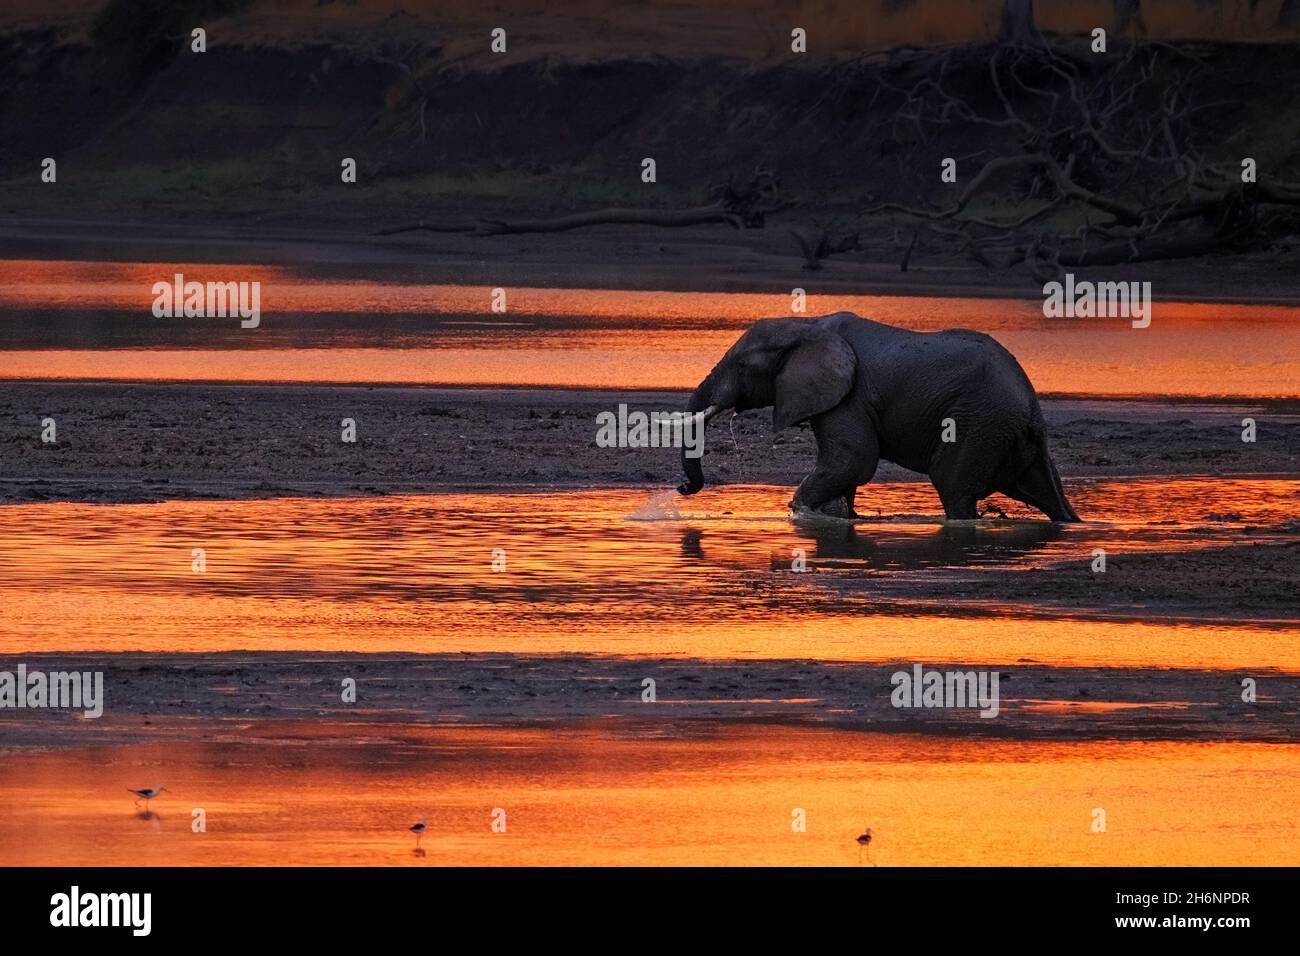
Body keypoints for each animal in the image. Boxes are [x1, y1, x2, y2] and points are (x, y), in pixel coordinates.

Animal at [676, 312, 1081, 522]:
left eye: (742, 366)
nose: (682, 489)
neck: (807, 324)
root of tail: (1031, 405)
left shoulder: (850, 396)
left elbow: (853, 461)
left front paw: (803, 513)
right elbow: (846, 469)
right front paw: (839, 516)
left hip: (979, 423)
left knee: (954, 488)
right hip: (1006, 432)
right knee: (1049, 497)